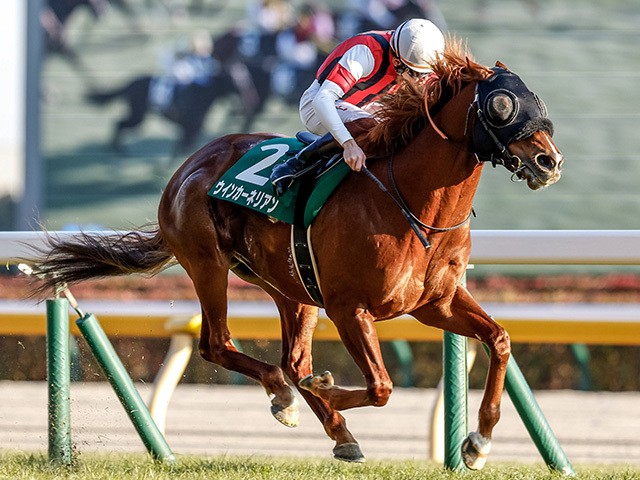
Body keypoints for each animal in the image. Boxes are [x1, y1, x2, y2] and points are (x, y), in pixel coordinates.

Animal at [32, 41, 564, 468]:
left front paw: (478, 443)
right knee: (220, 345)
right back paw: (287, 397)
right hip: (208, 264)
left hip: (293, 288)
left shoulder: (436, 303)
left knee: (292, 359)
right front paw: (324, 389)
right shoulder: (350, 308)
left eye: (535, 98)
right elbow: (381, 387)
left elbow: (499, 340)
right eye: (501, 104)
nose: (549, 161)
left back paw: (336, 430)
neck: (410, 201)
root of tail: (187, 168)